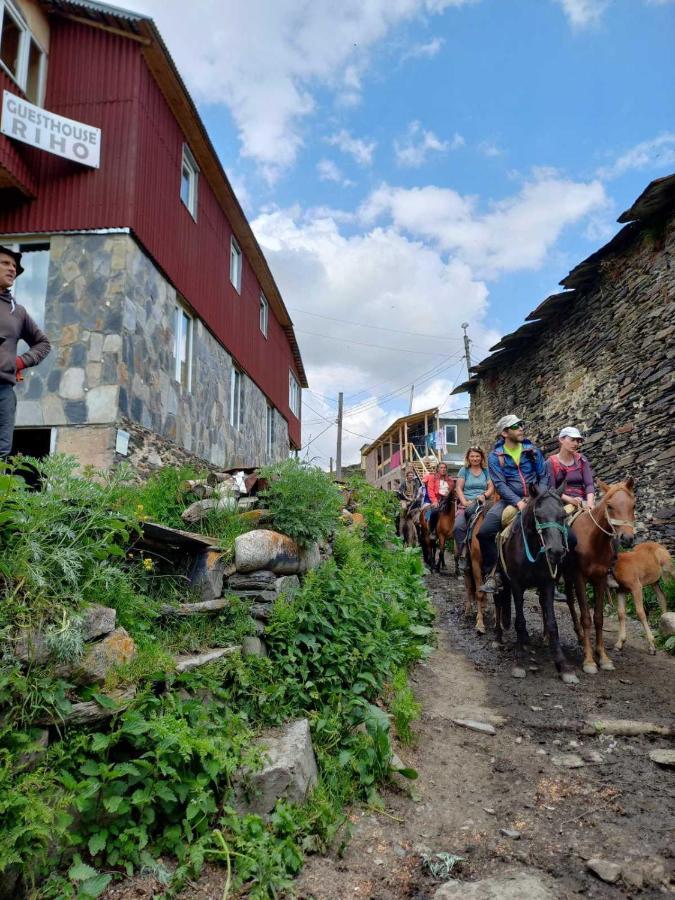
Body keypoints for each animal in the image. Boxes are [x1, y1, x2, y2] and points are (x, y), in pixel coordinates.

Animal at [494, 486, 580, 684]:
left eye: (563, 515)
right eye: (539, 515)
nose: (556, 551)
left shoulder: (547, 583)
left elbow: (553, 624)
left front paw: (563, 665)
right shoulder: (516, 584)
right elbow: (519, 621)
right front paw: (519, 662)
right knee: (498, 600)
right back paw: (498, 637)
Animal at [564, 478, 636, 676]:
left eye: (633, 505)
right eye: (610, 506)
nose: (627, 538)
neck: (592, 541)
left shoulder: (601, 579)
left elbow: (598, 618)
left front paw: (603, 656)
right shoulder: (579, 578)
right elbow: (586, 618)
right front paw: (589, 661)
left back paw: (581, 638)